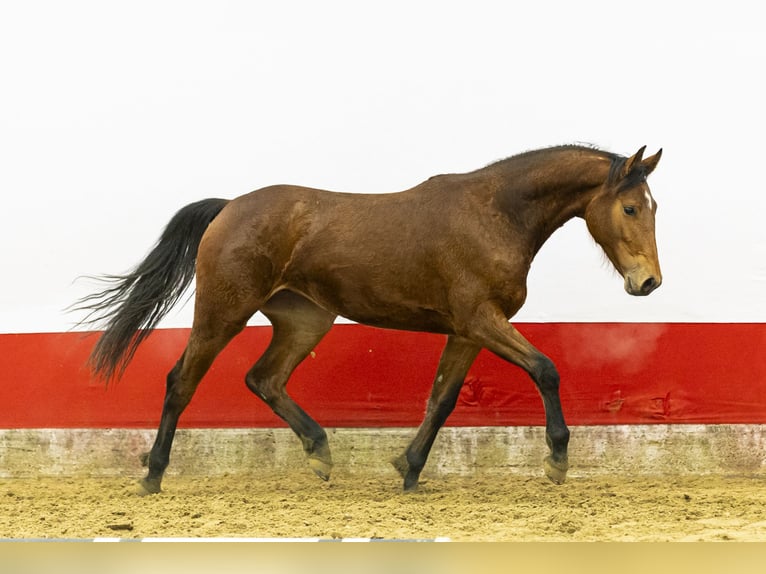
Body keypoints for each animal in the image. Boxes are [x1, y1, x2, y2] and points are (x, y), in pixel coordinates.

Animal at [74, 144, 662, 495]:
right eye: (631, 208)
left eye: (653, 207)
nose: (649, 283)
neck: (494, 215)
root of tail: (228, 207)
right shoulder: (481, 320)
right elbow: (545, 369)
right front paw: (556, 459)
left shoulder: (468, 330)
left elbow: (441, 399)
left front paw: (409, 469)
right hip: (222, 313)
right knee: (182, 381)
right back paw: (152, 475)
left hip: (306, 321)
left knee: (264, 379)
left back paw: (320, 453)